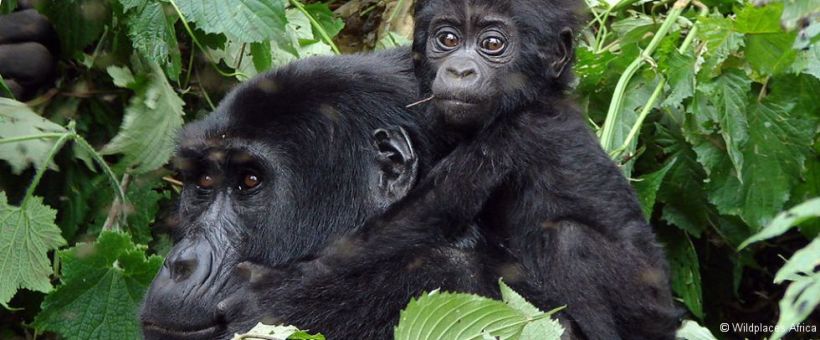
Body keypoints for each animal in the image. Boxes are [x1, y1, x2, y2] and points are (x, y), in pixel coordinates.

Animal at [284, 1, 680, 338]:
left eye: (492, 44)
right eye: (447, 39)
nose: (460, 70)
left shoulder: (518, 130)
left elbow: (424, 215)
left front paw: (290, 282)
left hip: (646, 307)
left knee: (569, 240)